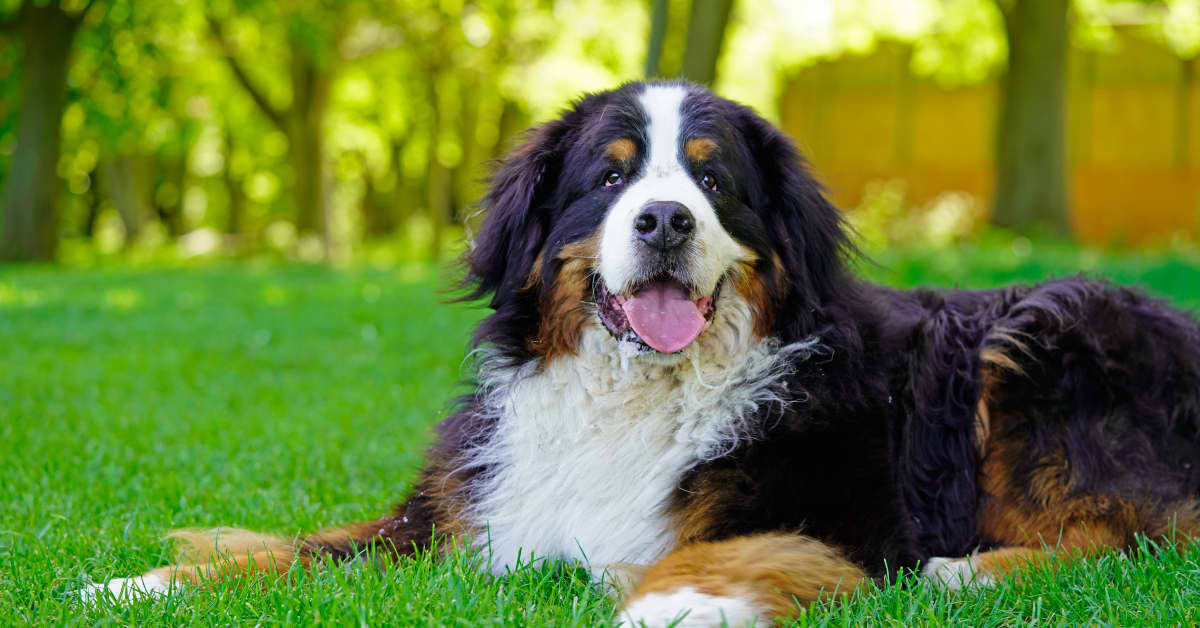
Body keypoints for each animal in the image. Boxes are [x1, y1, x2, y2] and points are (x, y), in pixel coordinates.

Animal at [82, 81, 1200, 624]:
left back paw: (967, 572)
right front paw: (141, 584)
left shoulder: (845, 517)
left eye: (713, 179)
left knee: (1138, 534)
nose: (665, 219)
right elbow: (290, 547)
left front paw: (680, 601)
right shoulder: (458, 512)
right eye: (611, 176)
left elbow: (726, 547)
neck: (633, 392)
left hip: (1042, 326)